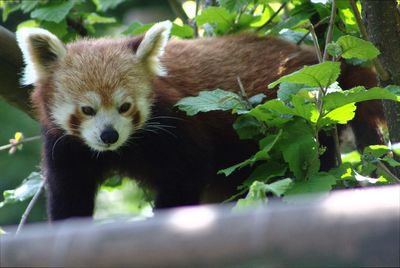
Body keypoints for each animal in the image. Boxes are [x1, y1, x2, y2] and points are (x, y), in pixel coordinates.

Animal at [16, 22, 384, 221]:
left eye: (125, 107)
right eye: (87, 110)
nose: (109, 135)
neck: (123, 150)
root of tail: (318, 60)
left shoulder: (176, 126)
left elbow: (187, 174)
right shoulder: (66, 148)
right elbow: (69, 195)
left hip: (303, 116)